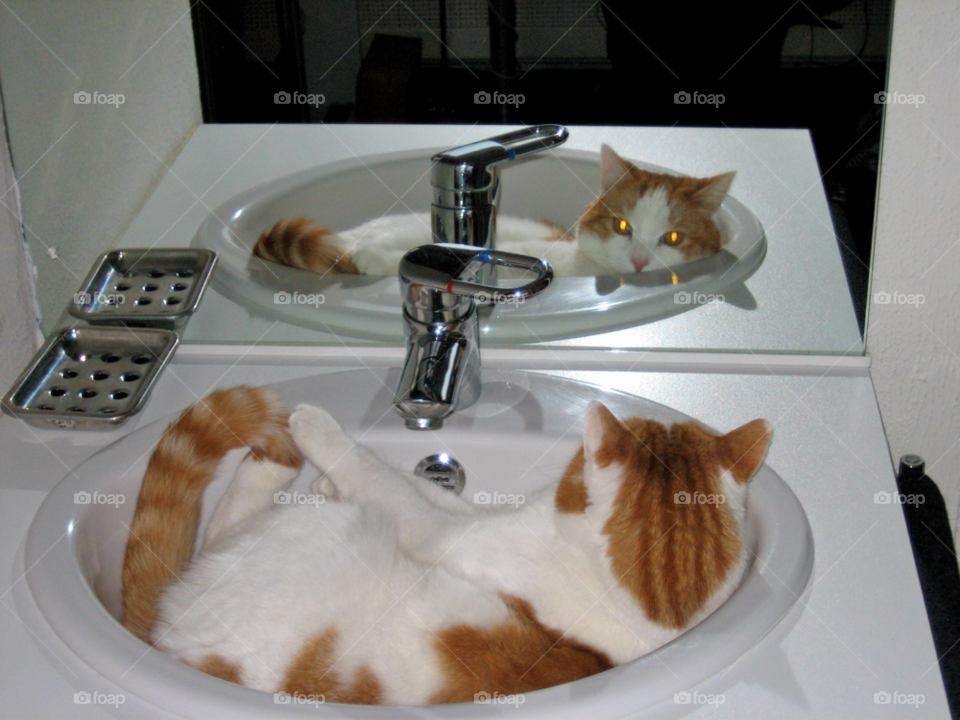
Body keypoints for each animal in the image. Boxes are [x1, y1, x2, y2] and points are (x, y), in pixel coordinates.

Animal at [120, 386, 768, 704]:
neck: (647, 603)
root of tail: (163, 641)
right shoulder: (470, 520)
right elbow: (429, 489)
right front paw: (333, 474)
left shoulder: (440, 536)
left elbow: (381, 477)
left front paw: (321, 440)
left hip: (305, 535)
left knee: (222, 528)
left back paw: (276, 463)